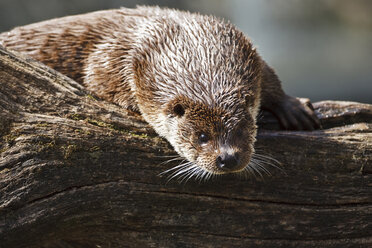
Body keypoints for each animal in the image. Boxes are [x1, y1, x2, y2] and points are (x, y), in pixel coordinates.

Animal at [0, 6, 320, 178]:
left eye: (243, 129)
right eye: (201, 137)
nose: (227, 158)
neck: (193, 47)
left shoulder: (242, 47)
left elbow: (268, 75)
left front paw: (294, 108)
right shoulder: (108, 57)